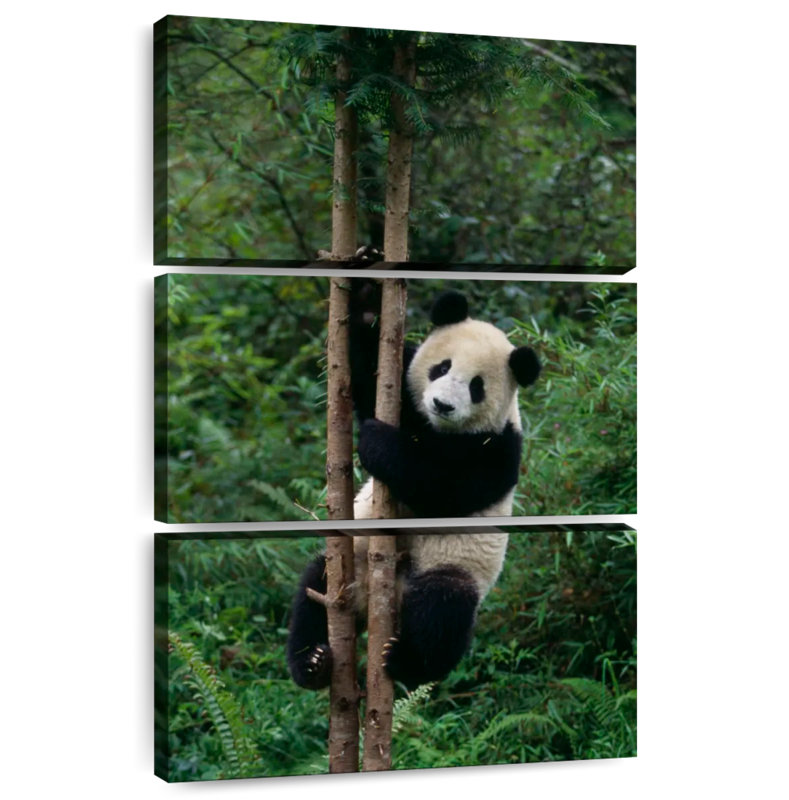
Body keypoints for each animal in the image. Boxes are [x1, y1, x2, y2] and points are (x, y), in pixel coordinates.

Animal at [287, 281, 540, 690]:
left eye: (477, 386)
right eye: (442, 367)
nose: (442, 404)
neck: (437, 430)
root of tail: (381, 598)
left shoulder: (498, 450)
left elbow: (443, 490)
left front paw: (376, 443)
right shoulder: (407, 396)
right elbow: (369, 376)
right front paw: (366, 300)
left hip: (453, 566)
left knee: (444, 609)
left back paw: (404, 661)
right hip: (353, 563)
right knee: (315, 589)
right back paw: (313, 662)